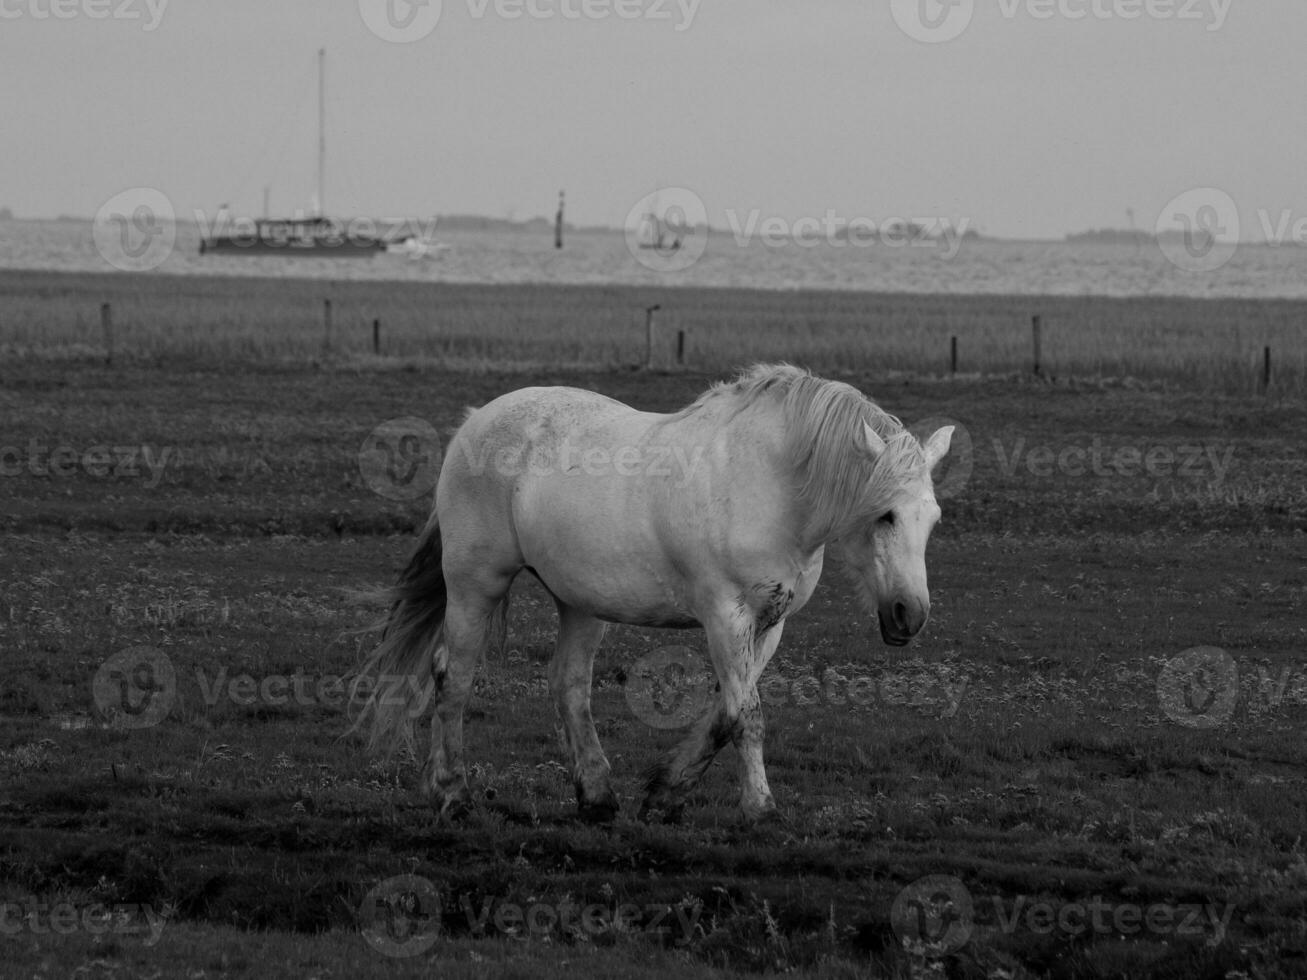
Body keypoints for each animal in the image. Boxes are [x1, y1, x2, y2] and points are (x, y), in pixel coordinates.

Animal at [352, 365, 956, 825]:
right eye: (885, 515)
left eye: (932, 519)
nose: (910, 615)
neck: (770, 484)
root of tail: (474, 422)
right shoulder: (725, 616)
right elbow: (747, 715)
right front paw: (759, 808)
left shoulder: (769, 623)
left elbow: (723, 714)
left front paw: (666, 792)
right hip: (475, 584)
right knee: (452, 677)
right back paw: (452, 792)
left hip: (579, 602)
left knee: (569, 685)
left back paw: (596, 796)